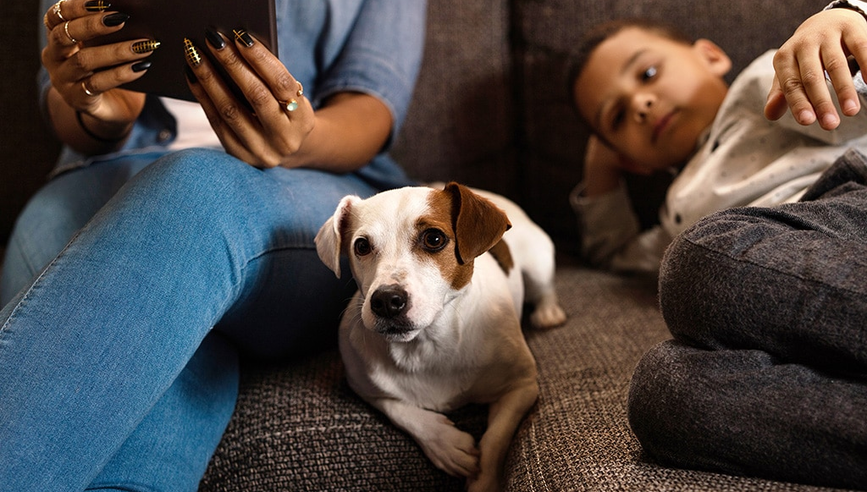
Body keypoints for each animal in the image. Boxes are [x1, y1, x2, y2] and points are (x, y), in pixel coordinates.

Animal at [316, 182, 568, 492]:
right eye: (361, 246)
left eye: (434, 239)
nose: (386, 301)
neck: (426, 344)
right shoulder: (364, 387)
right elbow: (402, 410)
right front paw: (447, 445)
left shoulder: (521, 387)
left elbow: (495, 439)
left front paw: (483, 480)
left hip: (537, 263)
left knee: (545, 289)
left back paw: (548, 313)